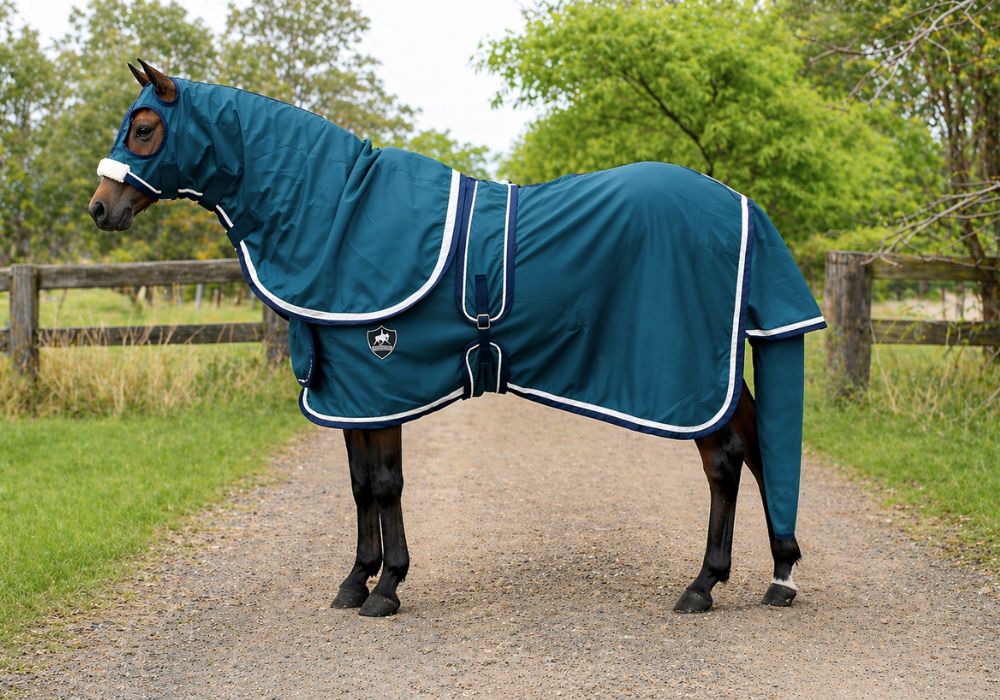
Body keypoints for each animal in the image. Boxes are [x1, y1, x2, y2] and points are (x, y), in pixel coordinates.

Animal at [89, 61, 825, 617]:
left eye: (146, 129)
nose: (101, 208)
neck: (338, 211)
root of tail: (738, 201)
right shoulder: (352, 390)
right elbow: (359, 484)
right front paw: (355, 580)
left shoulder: (381, 377)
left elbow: (385, 482)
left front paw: (386, 587)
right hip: (717, 375)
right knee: (756, 445)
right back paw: (777, 574)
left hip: (693, 377)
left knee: (724, 461)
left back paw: (704, 585)